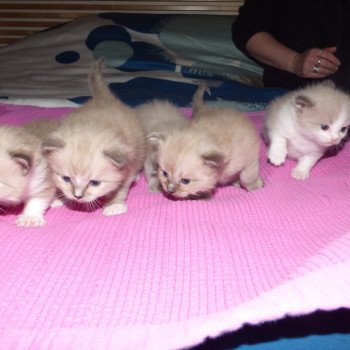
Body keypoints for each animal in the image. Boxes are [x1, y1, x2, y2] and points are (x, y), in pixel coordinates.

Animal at [41, 58, 146, 215]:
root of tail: (105, 98)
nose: (77, 196)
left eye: (94, 183)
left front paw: (114, 204)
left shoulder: (129, 165)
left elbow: (122, 187)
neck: (93, 126)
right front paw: (58, 198)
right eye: (66, 178)